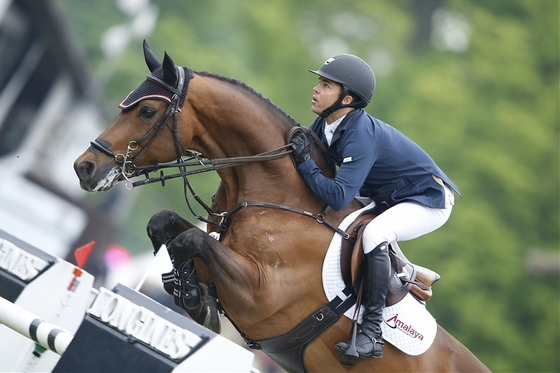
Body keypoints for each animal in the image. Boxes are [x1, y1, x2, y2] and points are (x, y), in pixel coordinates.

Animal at [72, 41, 488, 372]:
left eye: (145, 112)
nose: (84, 167)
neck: (278, 194)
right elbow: (167, 225)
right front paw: (189, 291)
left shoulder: (259, 296)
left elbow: (190, 242)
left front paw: (191, 296)